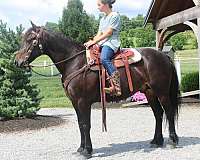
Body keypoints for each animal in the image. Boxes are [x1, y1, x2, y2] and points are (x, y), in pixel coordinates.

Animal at [15, 23, 181, 158]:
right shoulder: (75, 102)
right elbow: (80, 123)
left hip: (162, 92)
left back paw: (172, 141)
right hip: (149, 92)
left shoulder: (83, 102)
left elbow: (85, 124)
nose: (17, 61)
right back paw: (156, 141)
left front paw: (87, 150)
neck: (75, 62)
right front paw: (81, 148)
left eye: (31, 39)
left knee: (168, 112)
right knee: (158, 114)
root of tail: (163, 56)